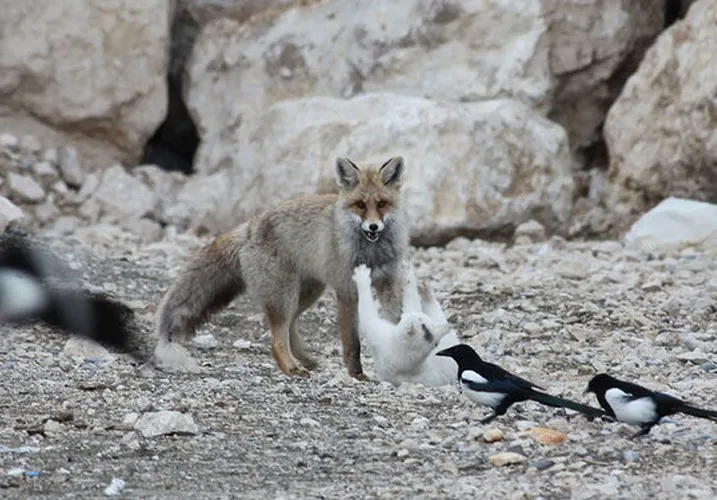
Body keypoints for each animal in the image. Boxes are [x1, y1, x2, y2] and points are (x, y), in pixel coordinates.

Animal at [155, 156, 414, 378]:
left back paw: (306, 361)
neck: (372, 253)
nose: (373, 227)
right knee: (277, 339)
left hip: (306, 293)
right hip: (284, 296)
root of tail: (250, 226)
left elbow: (397, 323)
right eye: (360, 205)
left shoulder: (388, 284)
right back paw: (292, 369)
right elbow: (352, 342)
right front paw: (357, 375)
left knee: (290, 327)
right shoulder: (347, 290)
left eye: (382, 204)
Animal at [352, 260, 458, 388]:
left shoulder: (378, 335)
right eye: (426, 323)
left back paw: (427, 294)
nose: (447, 327)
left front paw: (362, 275)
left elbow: (366, 315)